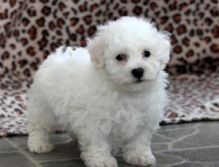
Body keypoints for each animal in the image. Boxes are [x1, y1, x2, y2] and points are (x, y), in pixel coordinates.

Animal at [27, 16, 170, 167]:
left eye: (147, 53)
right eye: (120, 57)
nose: (138, 71)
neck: (127, 93)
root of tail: (56, 56)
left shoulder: (146, 118)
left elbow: (139, 140)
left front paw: (139, 156)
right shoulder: (95, 121)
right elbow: (98, 142)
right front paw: (101, 160)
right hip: (43, 106)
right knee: (39, 126)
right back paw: (38, 144)